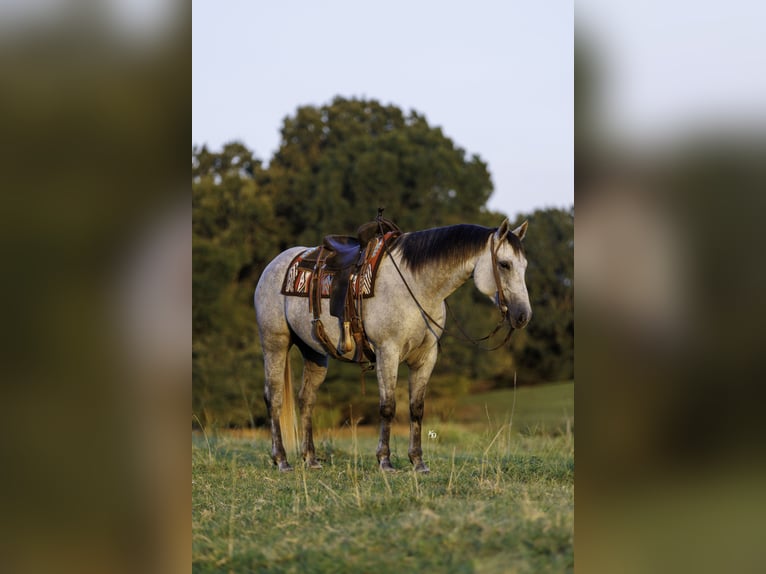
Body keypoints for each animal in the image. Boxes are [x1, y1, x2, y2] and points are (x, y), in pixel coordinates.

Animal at [254, 218, 532, 473]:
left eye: (524, 266)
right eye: (504, 264)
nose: (523, 316)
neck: (416, 287)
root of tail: (274, 265)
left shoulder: (426, 357)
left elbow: (416, 408)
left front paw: (418, 462)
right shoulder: (387, 352)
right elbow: (387, 406)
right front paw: (385, 461)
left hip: (315, 352)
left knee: (306, 399)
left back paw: (310, 459)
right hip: (274, 344)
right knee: (274, 397)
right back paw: (281, 460)